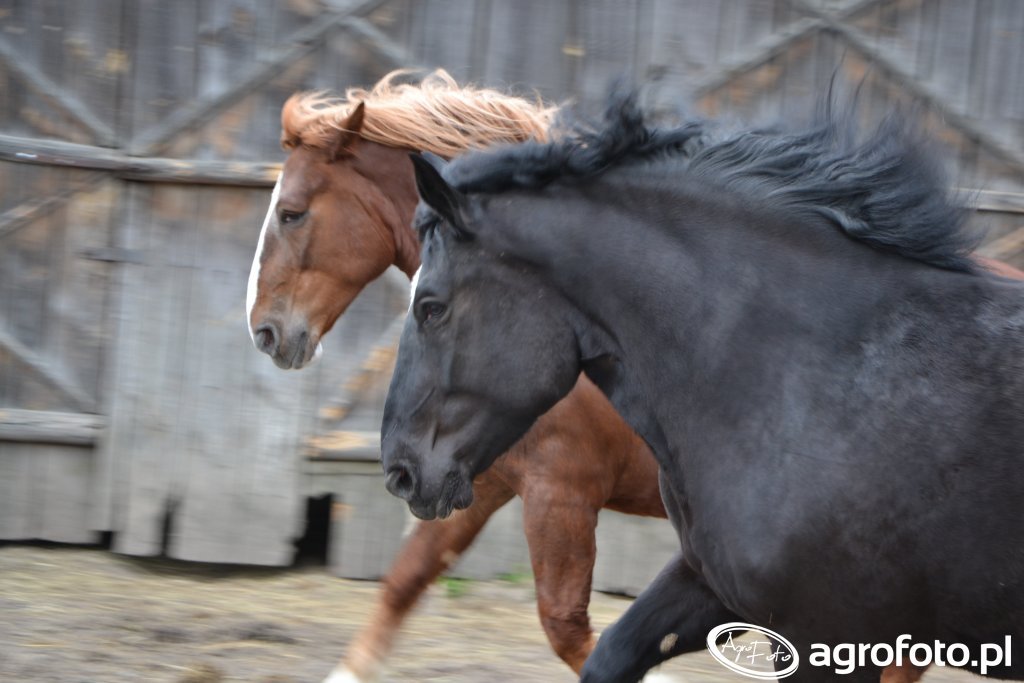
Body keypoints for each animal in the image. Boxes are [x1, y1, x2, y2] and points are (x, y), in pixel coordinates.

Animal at [243, 69, 1019, 683]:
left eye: (293, 212)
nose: (266, 331)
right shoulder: (483, 477)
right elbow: (406, 581)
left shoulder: (560, 489)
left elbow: (564, 624)